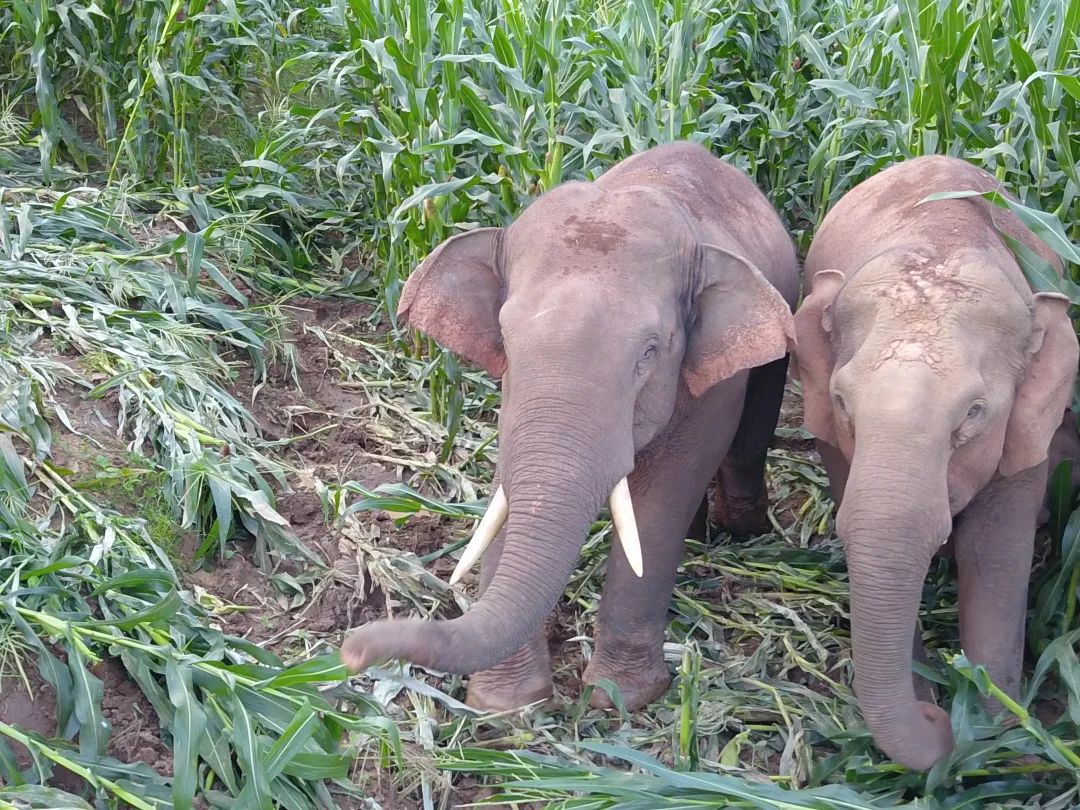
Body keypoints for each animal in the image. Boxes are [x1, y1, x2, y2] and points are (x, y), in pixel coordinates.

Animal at [341, 142, 799, 712]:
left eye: (650, 352)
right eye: (506, 337)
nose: (351, 652)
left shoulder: (711, 389)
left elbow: (660, 504)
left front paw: (620, 698)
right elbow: (509, 490)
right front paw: (510, 705)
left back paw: (741, 531)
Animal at [794, 156, 1080, 773]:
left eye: (974, 412)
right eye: (843, 401)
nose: (941, 718)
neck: (939, 239)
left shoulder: (1025, 430)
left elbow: (994, 553)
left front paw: (999, 728)